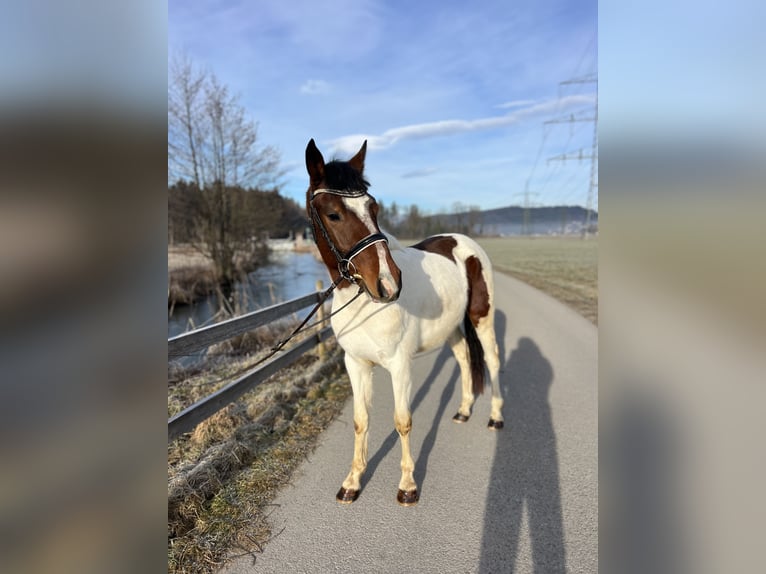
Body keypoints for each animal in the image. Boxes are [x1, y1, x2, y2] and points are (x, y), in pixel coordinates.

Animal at [306, 137, 504, 506]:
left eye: (373, 208)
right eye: (333, 213)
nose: (388, 282)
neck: (363, 304)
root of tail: (464, 242)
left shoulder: (399, 365)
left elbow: (402, 421)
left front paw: (408, 486)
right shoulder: (356, 363)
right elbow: (361, 420)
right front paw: (352, 483)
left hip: (481, 319)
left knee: (494, 361)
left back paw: (496, 417)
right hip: (453, 329)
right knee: (464, 360)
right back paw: (463, 411)